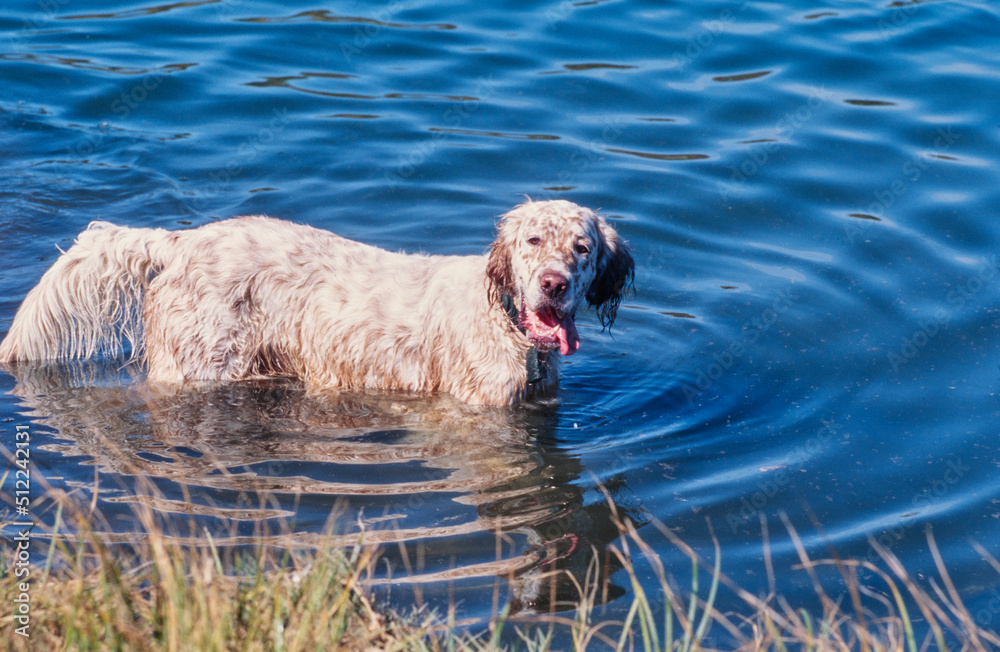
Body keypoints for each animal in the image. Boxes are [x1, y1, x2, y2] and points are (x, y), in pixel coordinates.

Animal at [0, 200, 632, 402]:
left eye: (582, 248)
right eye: (532, 241)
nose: (554, 283)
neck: (506, 323)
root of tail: (183, 241)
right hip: (200, 366)